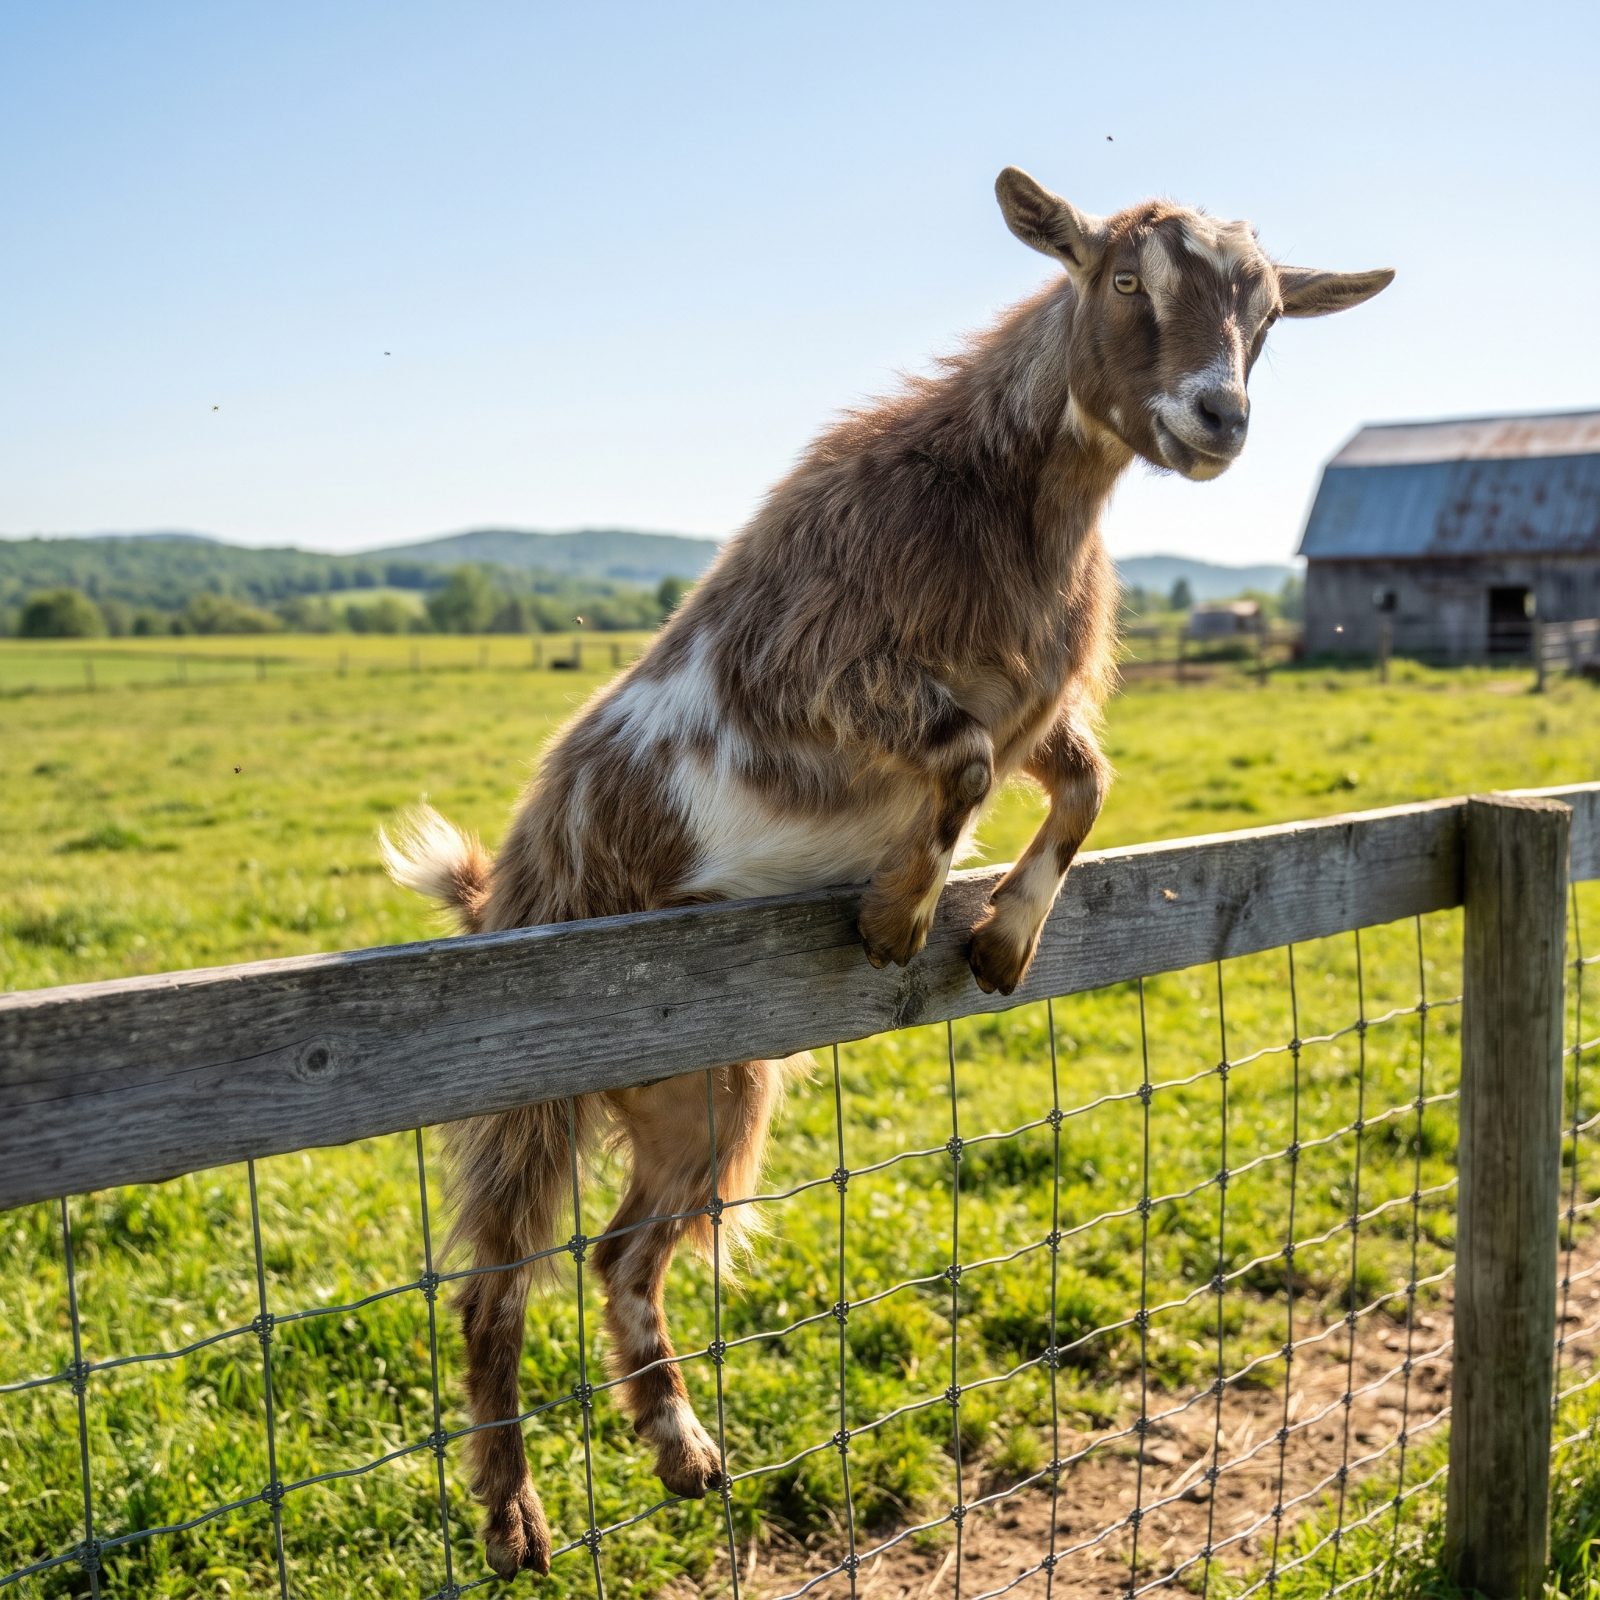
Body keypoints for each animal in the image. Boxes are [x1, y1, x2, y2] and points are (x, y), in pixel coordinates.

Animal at [382, 167, 1392, 1578]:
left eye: (1270, 317)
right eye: (1123, 279)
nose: (1218, 415)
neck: (1006, 497)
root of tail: (501, 885)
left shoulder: (1038, 701)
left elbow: (1082, 782)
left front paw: (1001, 940)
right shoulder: (817, 675)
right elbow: (957, 758)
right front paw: (896, 914)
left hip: (707, 1087)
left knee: (624, 1254)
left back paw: (681, 1448)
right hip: (530, 1068)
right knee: (495, 1281)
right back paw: (515, 1515)